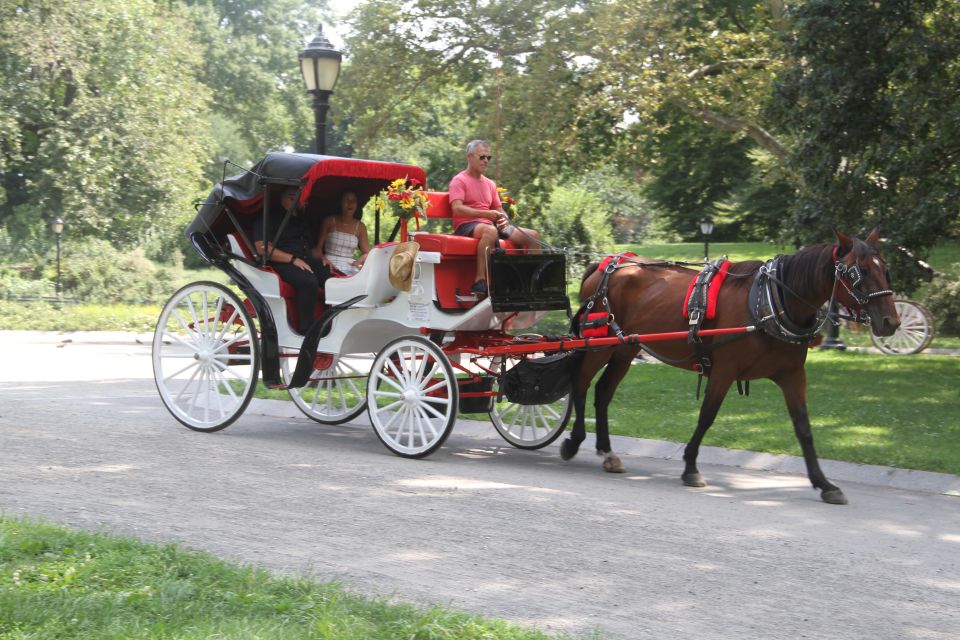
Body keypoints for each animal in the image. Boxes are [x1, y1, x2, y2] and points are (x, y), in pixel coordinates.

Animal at [564, 230, 900, 504]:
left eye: (885, 269)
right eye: (859, 272)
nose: (891, 322)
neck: (770, 303)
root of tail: (609, 263)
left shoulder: (792, 375)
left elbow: (803, 428)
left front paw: (824, 483)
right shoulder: (724, 371)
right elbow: (706, 416)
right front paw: (690, 466)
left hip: (626, 347)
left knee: (603, 392)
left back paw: (607, 451)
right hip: (599, 344)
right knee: (580, 384)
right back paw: (574, 440)